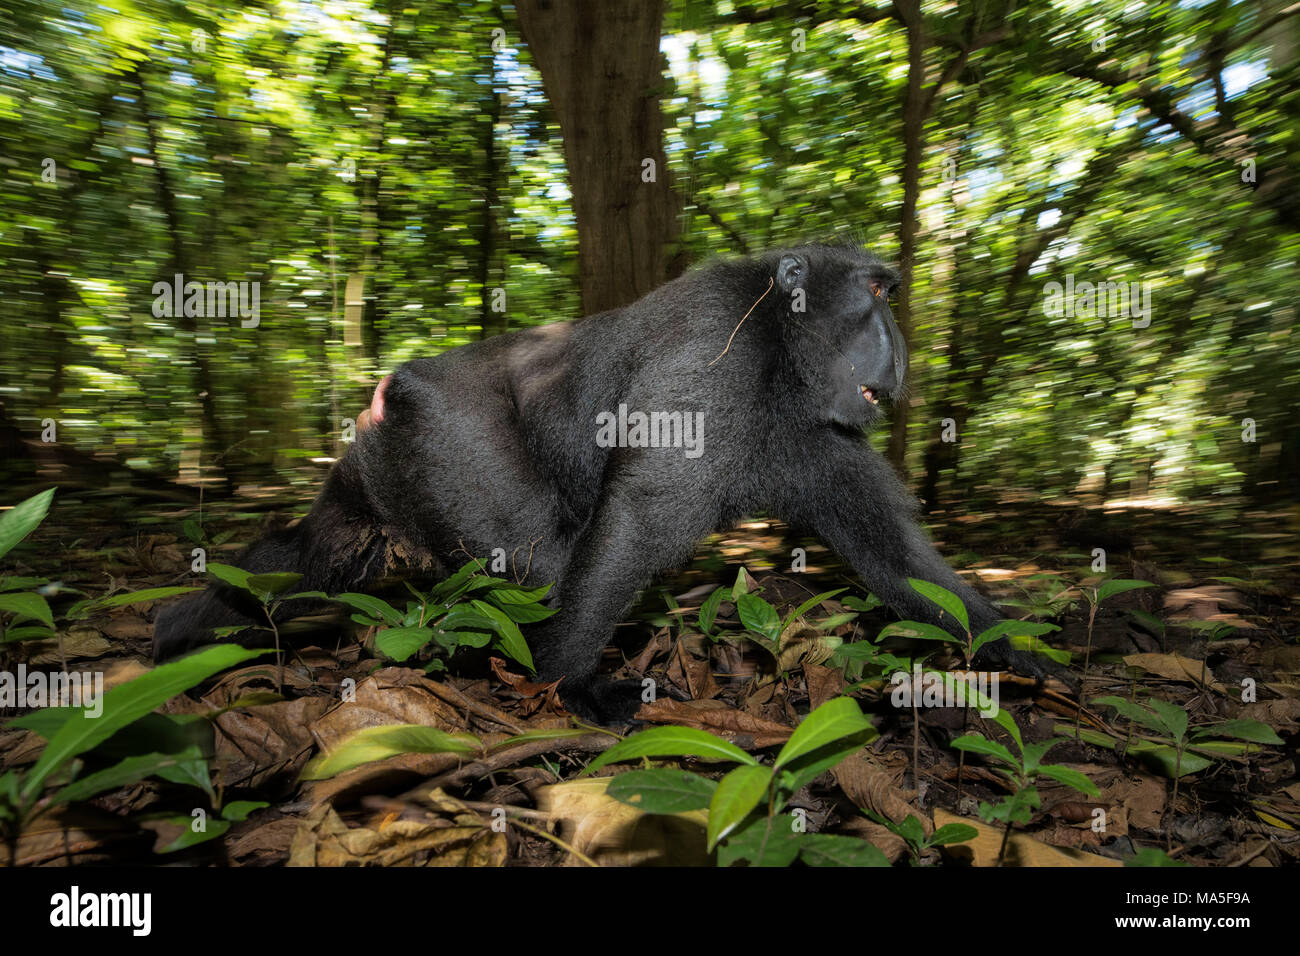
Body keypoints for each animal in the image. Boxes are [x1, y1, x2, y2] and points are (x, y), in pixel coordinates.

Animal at [154, 243, 1056, 722]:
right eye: (874, 295)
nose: (900, 350)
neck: (778, 350)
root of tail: (390, 393)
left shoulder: (822, 434)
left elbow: (892, 553)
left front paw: (1017, 655)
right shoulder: (711, 357)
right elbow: (637, 522)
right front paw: (572, 683)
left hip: (380, 468)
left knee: (313, 563)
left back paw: (179, 633)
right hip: (447, 440)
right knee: (532, 558)